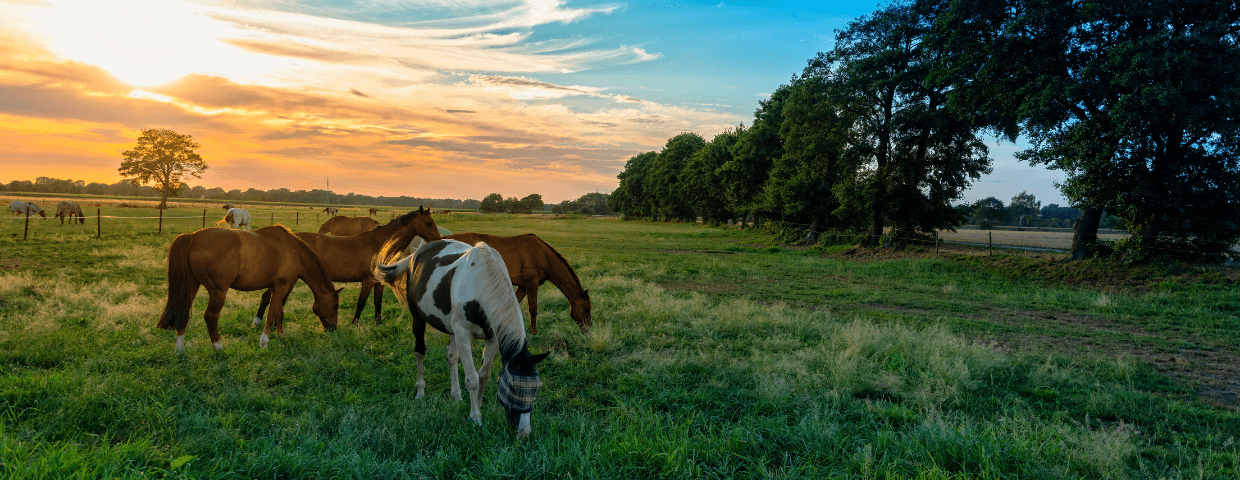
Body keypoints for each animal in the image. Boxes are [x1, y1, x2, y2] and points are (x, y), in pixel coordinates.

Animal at [158, 223, 349, 354]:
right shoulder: (281, 285)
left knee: (182, 313)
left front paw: (281, 336)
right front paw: (264, 341)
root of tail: (192, 237)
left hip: (191, 286)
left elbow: (279, 313)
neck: (294, 250)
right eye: (336, 305)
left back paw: (180, 349)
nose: (333, 329)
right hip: (218, 291)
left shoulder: (277, 287)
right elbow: (271, 314)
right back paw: (218, 347)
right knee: (211, 317)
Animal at [254, 207, 443, 327]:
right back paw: (257, 322)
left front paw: (378, 323)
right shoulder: (367, 281)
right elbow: (361, 303)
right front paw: (355, 323)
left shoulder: (378, 283)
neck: (379, 244)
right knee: (267, 297)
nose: (438, 240)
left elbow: (377, 303)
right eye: (428, 223)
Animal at [374, 238, 550, 439]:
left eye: (536, 388)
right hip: (418, 318)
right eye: (514, 387)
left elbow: (483, 375)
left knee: (452, 357)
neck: (482, 282)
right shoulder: (463, 334)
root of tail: (416, 253)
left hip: (452, 329)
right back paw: (420, 392)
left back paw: (456, 395)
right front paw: (475, 418)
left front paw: (478, 407)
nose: (524, 432)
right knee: (420, 352)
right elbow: (472, 379)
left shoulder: (493, 338)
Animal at [446, 233, 590, 334]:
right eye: (586, 309)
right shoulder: (532, 285)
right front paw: (533, 331)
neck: (542, 255)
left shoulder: (522, 287)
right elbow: (533, 309)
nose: (588, 330)